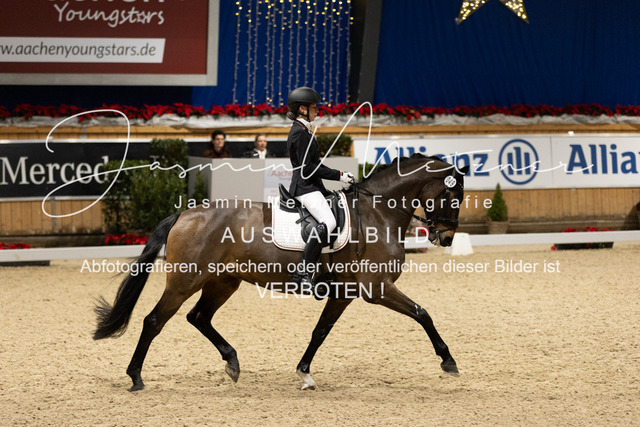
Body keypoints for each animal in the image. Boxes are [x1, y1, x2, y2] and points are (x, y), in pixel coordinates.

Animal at [93, 153, 469, 391]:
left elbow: (320, 332)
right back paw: (135, 377)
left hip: (223, 282)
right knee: (154, 321)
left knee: (198, 317)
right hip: (185, 282)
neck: (377, 213)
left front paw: (305, 375)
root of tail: (185, 215)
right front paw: (448, 361)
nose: (447, 237)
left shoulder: (344, 294)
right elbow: (423, 313)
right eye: (453, 195)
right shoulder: (377, 289)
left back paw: (232, 363)